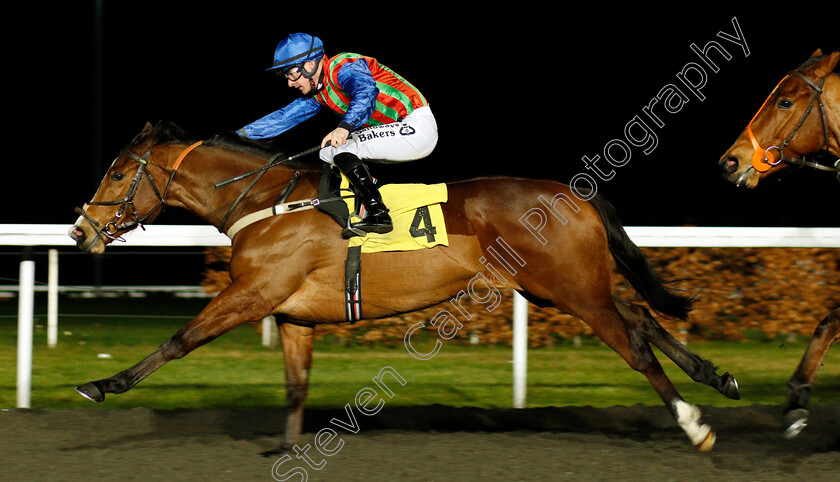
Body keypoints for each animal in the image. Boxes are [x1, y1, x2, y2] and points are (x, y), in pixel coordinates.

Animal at [72, 120, 740, 452]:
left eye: (119, 173)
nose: (81, 231)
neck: (267, 203)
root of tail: (572, 192)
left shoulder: (253, 294)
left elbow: (179, 340)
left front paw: (102, 385)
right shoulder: (293, 314)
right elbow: (295, 387)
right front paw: (288, 450)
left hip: (574, 292)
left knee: (635, 346)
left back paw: (694, 424)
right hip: (561, 288)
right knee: (641, 316)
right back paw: (716, 377)